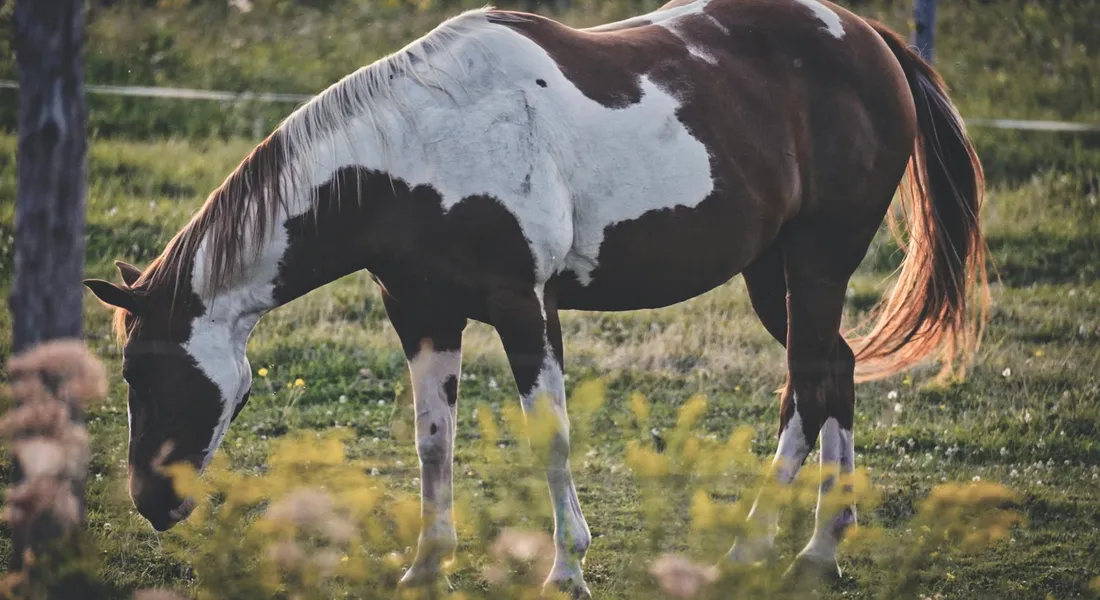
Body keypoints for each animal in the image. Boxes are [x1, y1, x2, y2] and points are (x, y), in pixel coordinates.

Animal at [84, 0, 987, 595]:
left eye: (140, 374)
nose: (152, 504)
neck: (413, 153)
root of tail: (870, 38)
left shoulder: (526, 306)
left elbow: (549, 437)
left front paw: (567, 568)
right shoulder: (423, 314)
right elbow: (432, 442)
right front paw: (426, 565)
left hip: (817, 262)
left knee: (810, 379)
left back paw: (765, 550)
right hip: (774, 273)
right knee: (831, 372)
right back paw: (819, 548)